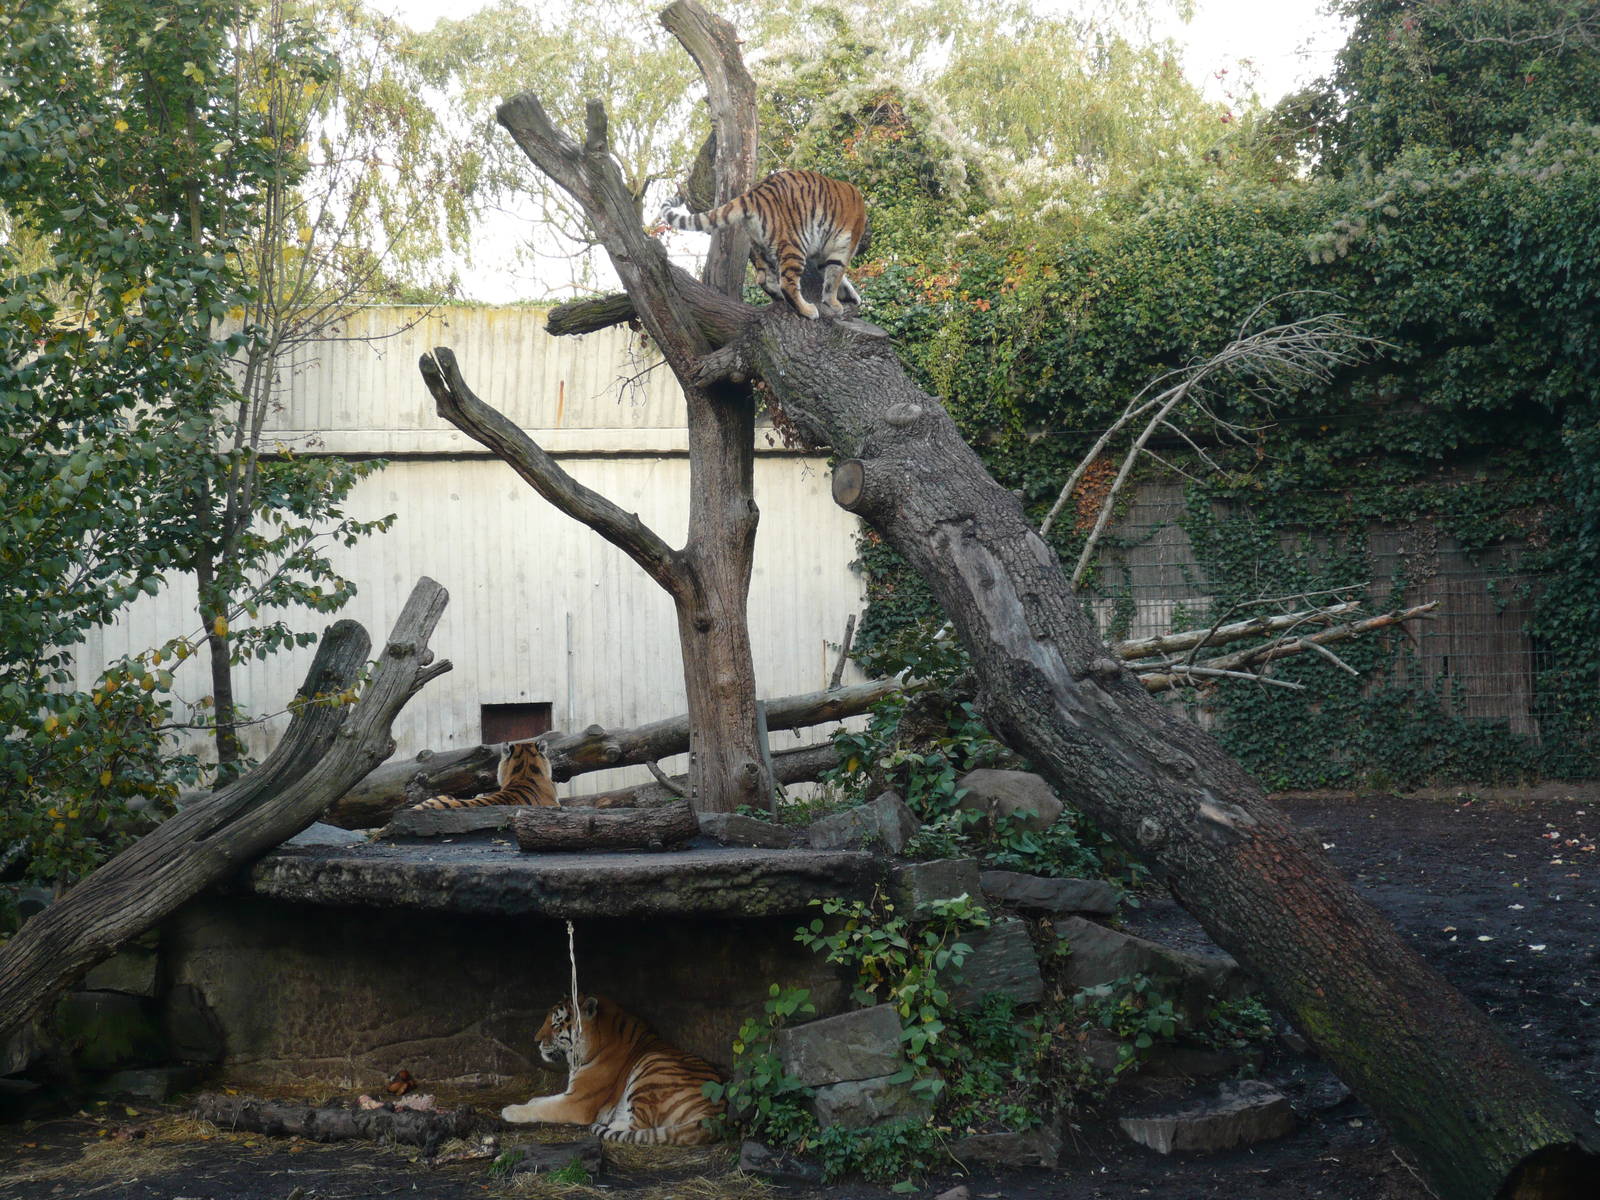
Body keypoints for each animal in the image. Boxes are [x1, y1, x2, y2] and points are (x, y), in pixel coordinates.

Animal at [500, 994, 724, 1146]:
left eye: (555, 1024)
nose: (535, 1041)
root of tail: (714, 1114)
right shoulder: (571, 1094)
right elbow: (544, 1100)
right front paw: (531, 1100)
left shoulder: (577, 1102)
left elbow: (543, 1107)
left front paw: (510, 1110)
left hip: (652, 1065)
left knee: (642, 1125)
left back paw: (613, 1125)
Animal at [660, 169, 868, 321]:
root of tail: (754, 192)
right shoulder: (841, 250)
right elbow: (834, 278)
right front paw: (835, 304)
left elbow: (837, 278)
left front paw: (850, 296)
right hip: (795, 243)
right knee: (787, 283)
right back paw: (808, 310)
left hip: (760, 245)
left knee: (763, 279)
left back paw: (780, 298)